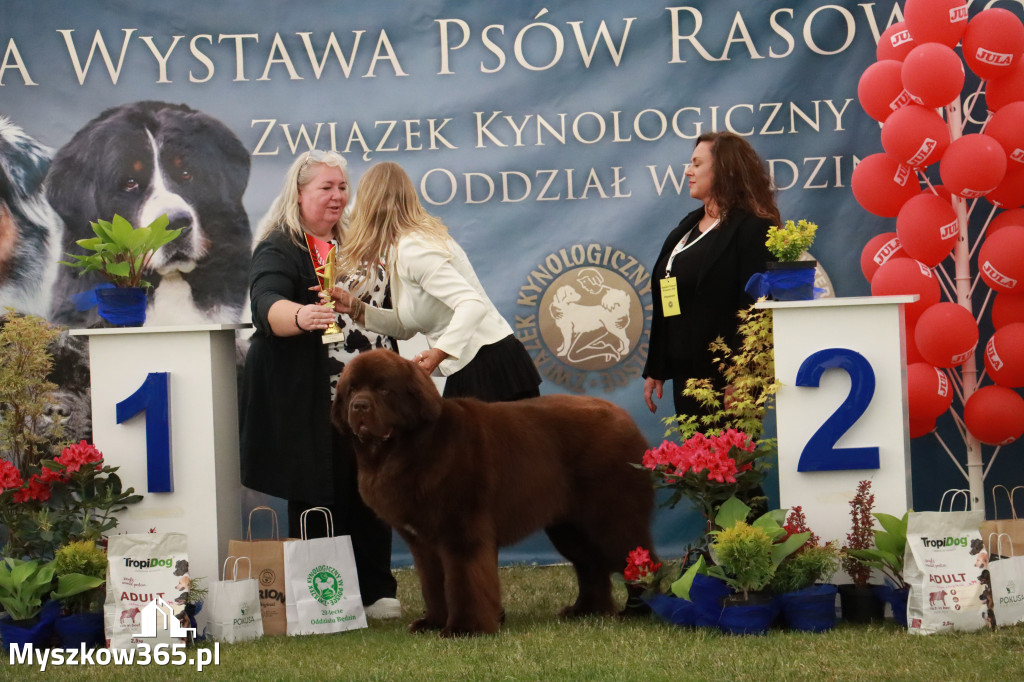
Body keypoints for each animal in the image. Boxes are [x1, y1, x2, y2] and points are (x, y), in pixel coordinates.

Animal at [331, 348, 659, 634]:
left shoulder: (461, 530)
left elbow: (464, 581)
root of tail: (625, 418)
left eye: (384, 390)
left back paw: (641, 611)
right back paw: (587, 610)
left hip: (612, 517)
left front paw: (464, 628)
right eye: (352, 389)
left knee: (636, 557)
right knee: (590, 563)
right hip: (569, 527)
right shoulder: (423, 542)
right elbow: (433, 584)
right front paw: (433, 623)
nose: (359, 406)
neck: (408, 448)